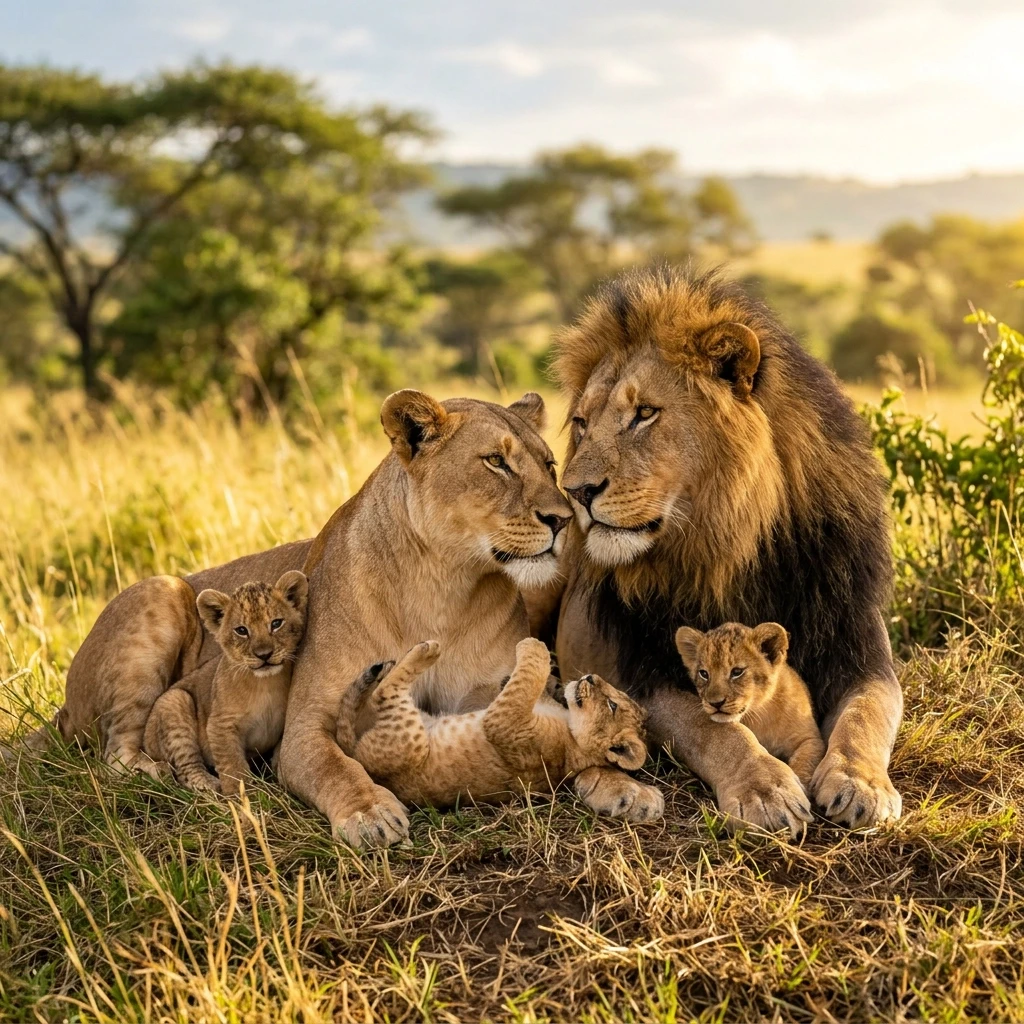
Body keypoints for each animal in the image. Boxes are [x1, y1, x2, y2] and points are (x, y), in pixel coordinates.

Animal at [142, 571, 308, 796]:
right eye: (241, 630)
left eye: (276, 624)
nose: (264, 655)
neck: (265, 684)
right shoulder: (220, 725)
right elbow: (233, 767)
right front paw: (243, 798)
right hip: (175, 700)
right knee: (186, 769)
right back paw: (209, 786)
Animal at [332, 637, 659, 817]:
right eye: (615, 697)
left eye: (612, 705)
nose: (590, 677)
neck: (570, 729)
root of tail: (361, 758)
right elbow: (530, 684)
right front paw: (537, 680)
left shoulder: (504, 723)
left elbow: (527, 677)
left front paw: (532, 645)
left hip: (407, 737)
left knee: (383, 694)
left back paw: (424, 652)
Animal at [674, 622, 825, 789]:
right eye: (704, 674)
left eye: (737, 672)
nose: (715, 703)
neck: (759, 713)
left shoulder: (811, 739)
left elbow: (804, 764)